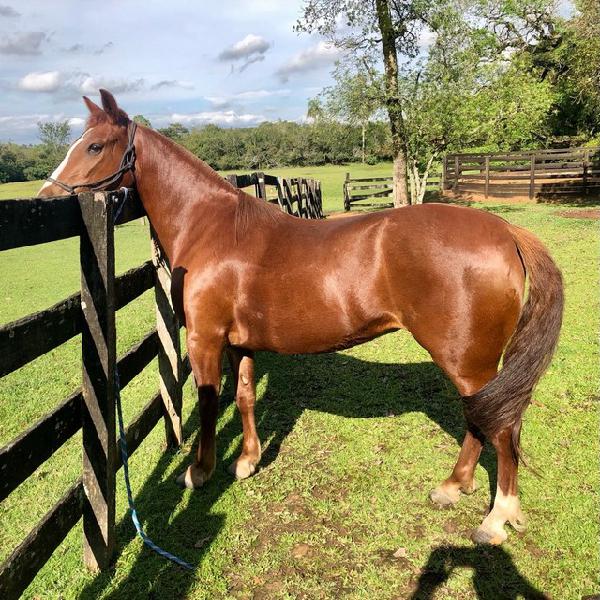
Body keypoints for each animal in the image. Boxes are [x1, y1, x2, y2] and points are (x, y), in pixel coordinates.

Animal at [39, 89, 564, 544]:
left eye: (94, 145)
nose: (45, 199)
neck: (212, 228)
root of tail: (505, 230)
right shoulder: (240, 342)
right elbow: (245, 397)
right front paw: (247, 462)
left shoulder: (205, 339)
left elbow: (209, 403)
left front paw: (199, 471)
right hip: (473, 365)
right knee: (484, 420)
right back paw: (454, 487)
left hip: (468, 360)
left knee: (502, 427)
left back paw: (496, 518)